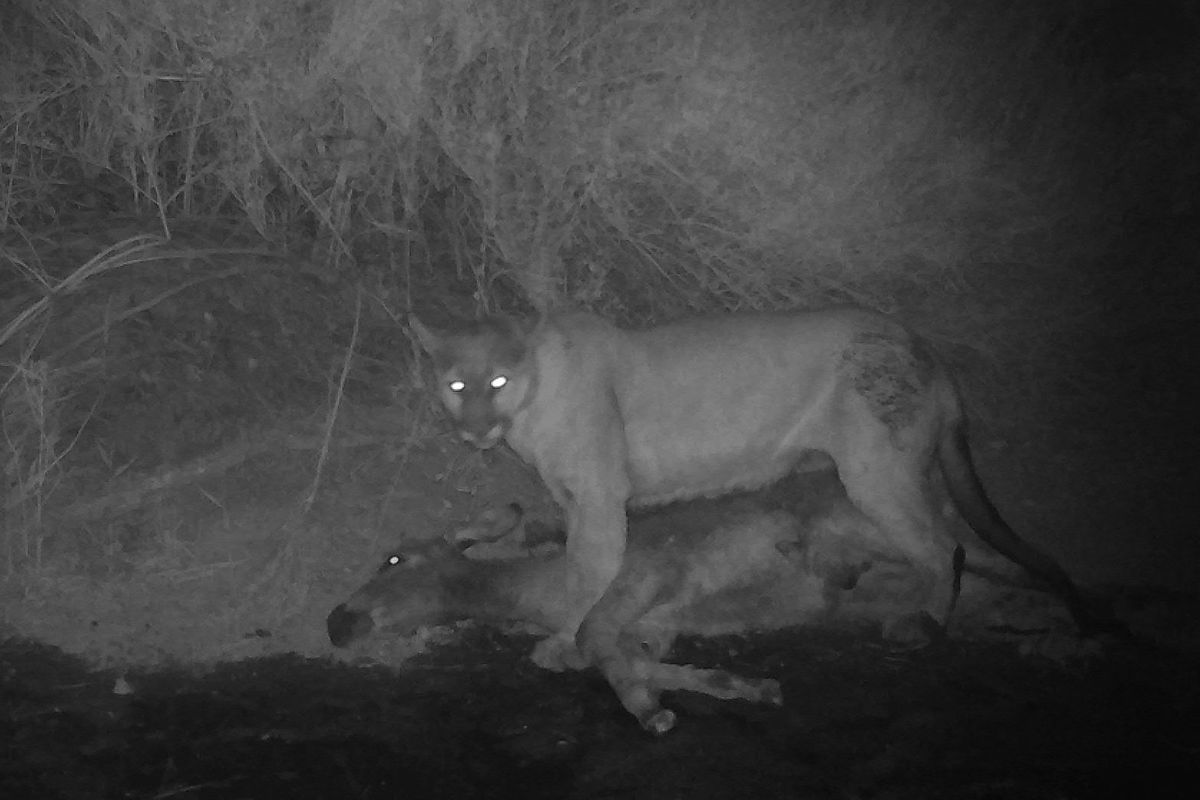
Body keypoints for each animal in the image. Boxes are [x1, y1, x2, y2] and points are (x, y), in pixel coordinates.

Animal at [415, 309, 1104, 662]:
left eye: (498, 381)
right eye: (456, 385)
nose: (474, 427)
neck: (531, 406)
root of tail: (928, 351)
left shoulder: (601, 501)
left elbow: (586, 572)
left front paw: (561, 641)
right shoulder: (574, 499)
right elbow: (576, 568)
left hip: (877, 474)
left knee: (945, 548)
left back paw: (922, 625)